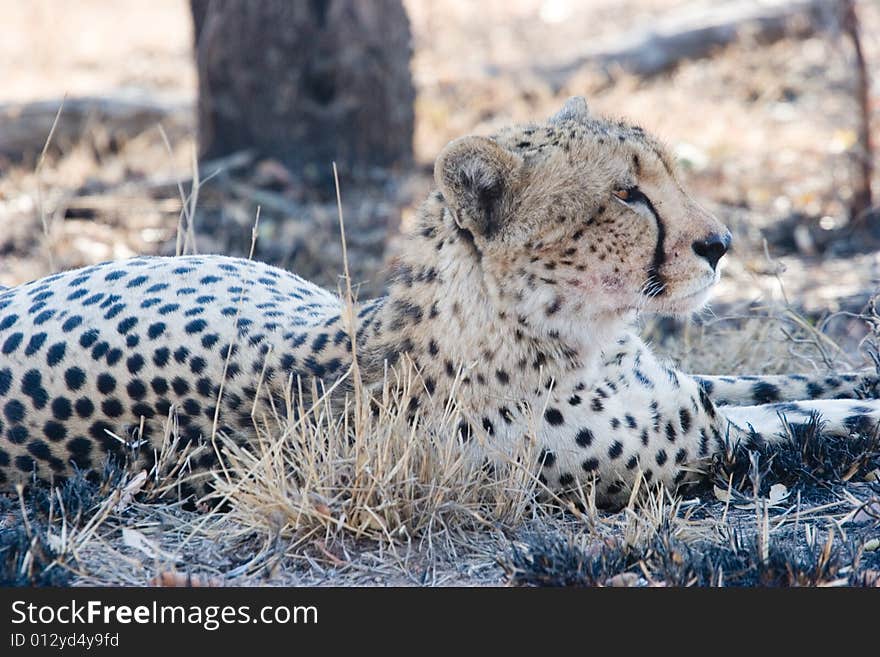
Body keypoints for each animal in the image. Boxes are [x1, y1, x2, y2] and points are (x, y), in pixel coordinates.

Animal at [1, 97, 880, 504]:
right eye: (627, 194)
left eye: (666, 171)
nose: (721, 243)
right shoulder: (702, 441)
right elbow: (825, 418)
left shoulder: (690, 392)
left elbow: (797, 383)